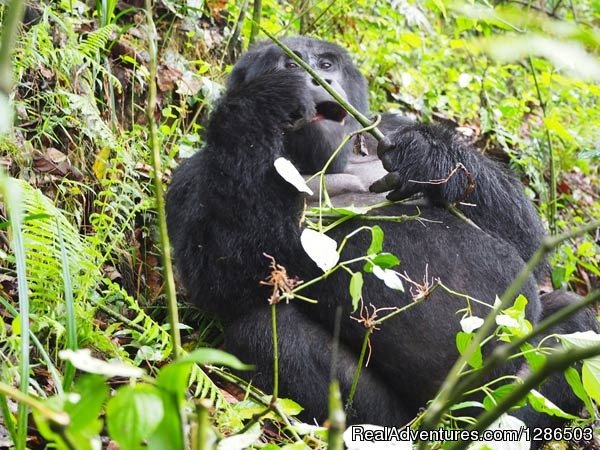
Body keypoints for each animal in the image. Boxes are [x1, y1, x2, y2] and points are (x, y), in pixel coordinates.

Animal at [165, 37, 600, 442]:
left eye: (326, 64)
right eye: (289, 64)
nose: (317, 77)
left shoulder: (388, 127)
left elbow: (528, 244)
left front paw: (432, 157)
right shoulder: (191, 175)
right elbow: (221, 278)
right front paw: (260, 103)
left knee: (570, 317)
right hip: (405, 416)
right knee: (265, 332)